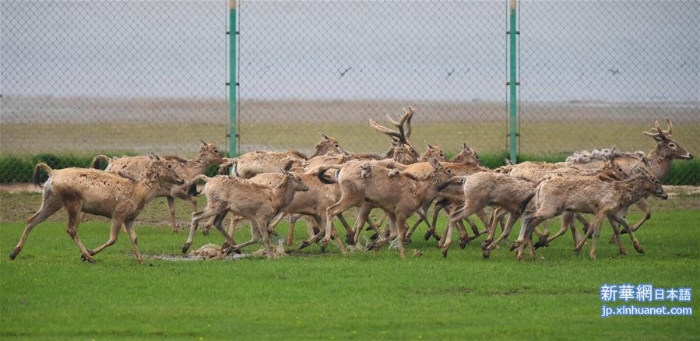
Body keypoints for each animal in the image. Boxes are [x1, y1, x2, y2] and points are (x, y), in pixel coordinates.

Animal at [8, 153, 183, 262]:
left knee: (32, 220)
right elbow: (113, 239)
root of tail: (52, 173)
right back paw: (90, 257)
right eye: (169, 166)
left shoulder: (130, 217)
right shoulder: (118, 213)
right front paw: (89, 254)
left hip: (52, 200)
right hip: (73, 201)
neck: (139, 192)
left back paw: (14, 252)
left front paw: (141, 260)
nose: (181, 179)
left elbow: (134, 238)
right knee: (71, 229)